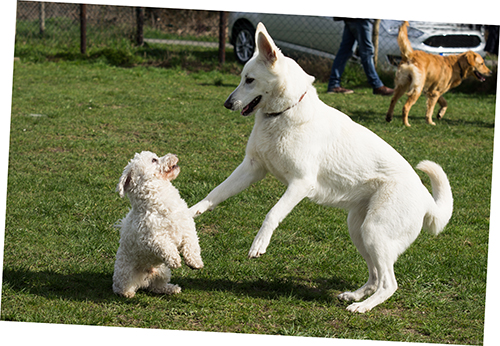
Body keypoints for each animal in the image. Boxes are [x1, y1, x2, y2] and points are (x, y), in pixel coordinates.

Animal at [113, 150, 203, 298]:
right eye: (154, 160)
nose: (174, 155)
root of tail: (144, 279)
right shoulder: (151, 236)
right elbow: (165, 246)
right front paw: (174, 259)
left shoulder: (188, 227)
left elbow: (192, 245)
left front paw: (195, 262)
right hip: (125, 274)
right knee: (121, 287)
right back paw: (127, 294)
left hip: (162, 271)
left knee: (156, 287)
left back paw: (171, 288)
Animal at [190, 23, 454, 312]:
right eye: (241, 78)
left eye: (249, 80)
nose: (227, 103)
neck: (284, 113)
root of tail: (427, 199)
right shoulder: (252, 168)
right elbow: (215, 194)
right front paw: (191, 212)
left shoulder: (300, 184)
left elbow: (272, 214)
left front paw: (259, 244)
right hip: (359, 231)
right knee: (375, 277)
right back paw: (354, 296)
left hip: (374, 232)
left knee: (389, 283)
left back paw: (362, 307)